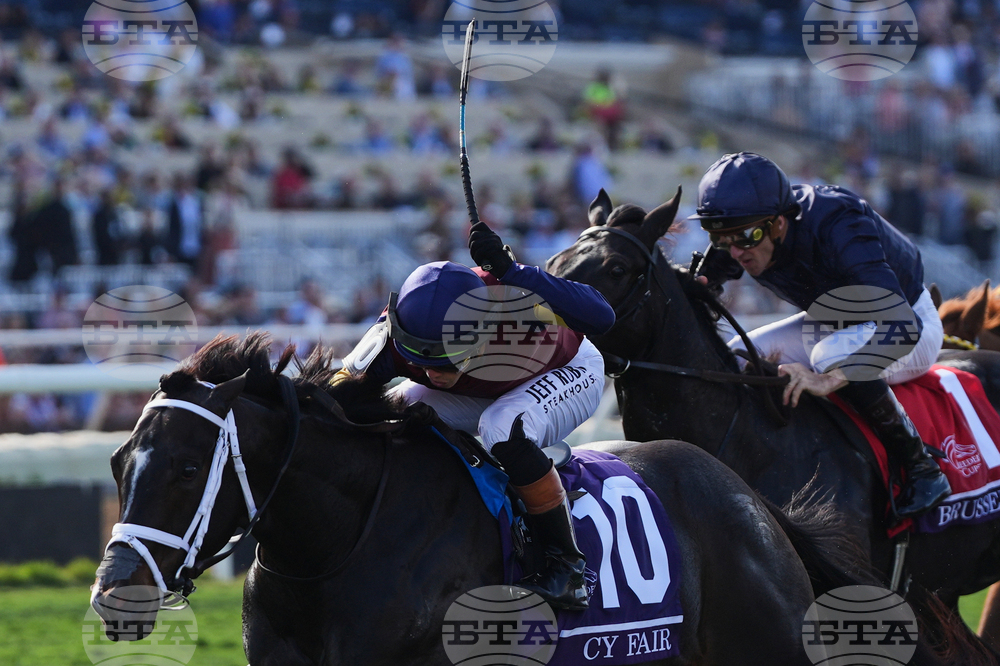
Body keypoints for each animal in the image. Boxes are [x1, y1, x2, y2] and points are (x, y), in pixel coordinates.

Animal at [88, 333, 960, 666]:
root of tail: (752, 503)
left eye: (184, 470)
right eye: (120, 463)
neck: (339, 542)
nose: (112, 597)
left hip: (762, 644)